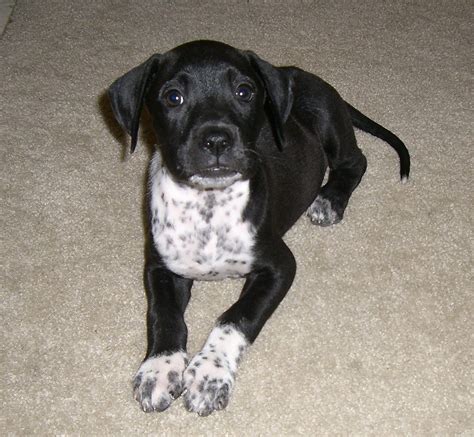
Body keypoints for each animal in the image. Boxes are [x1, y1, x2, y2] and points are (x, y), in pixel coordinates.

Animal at [106, 41, 408, 416]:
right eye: (173, 97)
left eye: (244, 91)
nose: (216, 140)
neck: (209, 207)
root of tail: (294, 72)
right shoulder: (160, 267)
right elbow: (164, 315)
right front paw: (159, 368)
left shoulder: (280, 266)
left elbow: (235, 317)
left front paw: (209, 374)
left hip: (326, 117)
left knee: (355, 160)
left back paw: (330, 200)